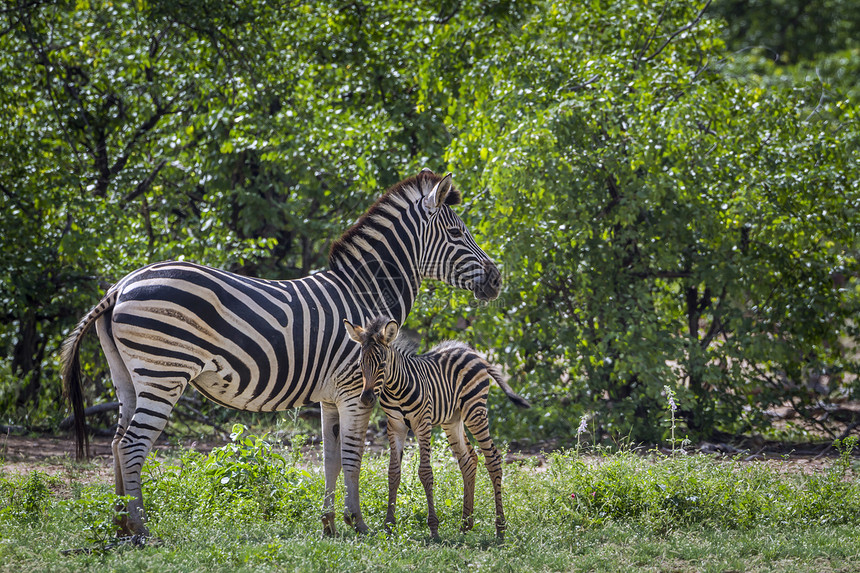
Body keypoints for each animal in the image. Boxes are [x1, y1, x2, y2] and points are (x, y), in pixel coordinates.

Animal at [62, 168, 504, 536]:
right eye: (457, 234)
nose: (497, 280)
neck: (364, 293)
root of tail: (121, 286)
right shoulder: (355, 391)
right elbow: (353, 457)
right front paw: (358, 523)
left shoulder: (330, 397)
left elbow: (330, 459)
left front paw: (329, 524)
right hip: (164, 373)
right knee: (132, 445)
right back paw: (141, 530)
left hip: (128, 377)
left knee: (117, 443)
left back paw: (120, 526)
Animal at [344, 316, 532, 540]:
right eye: (360, 364)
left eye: (382, 364)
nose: (366, 399)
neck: (396, 389)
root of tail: (471, 352)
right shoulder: (395, 426)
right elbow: (393, 473)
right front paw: (389, 525)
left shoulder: (422, 424)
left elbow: (425, 473)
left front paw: (433, 528)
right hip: (452, 419)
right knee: (468, 460)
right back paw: (465, 524)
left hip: (475, 411)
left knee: (493, 459)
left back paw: (500, 528)